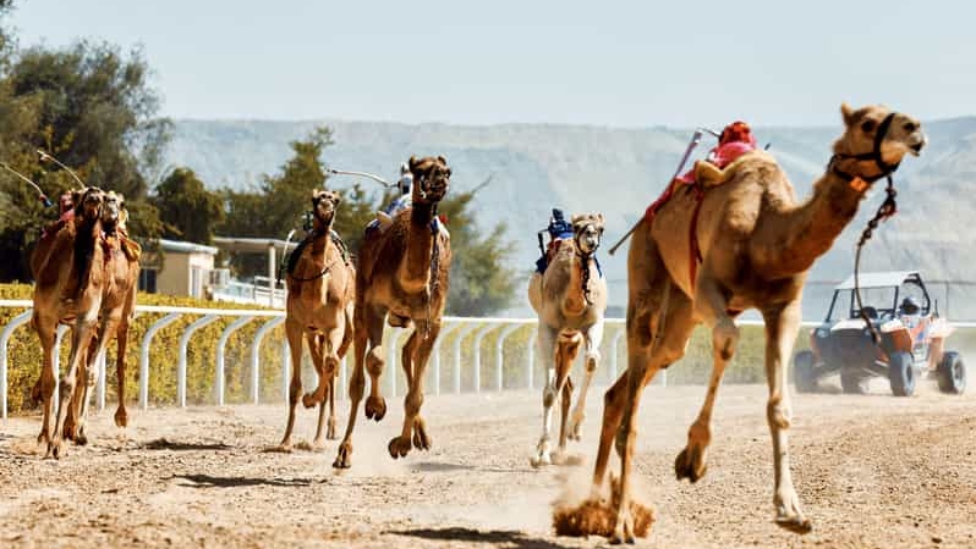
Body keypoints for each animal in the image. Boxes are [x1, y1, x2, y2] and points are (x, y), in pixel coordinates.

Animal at [30, 186, 107, 458]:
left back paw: (73, 431)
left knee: (84, 371)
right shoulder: (45, 317)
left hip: (81, 326)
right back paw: (49, 433)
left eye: (104, 197)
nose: (93, 195)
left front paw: (57, 444)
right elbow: (50, 381)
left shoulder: (85, 321)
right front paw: (48, 438)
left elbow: (67, 381)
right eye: (82, 194)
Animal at [277, 189, 355, 451]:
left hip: (343, 325)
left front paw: (311, 401)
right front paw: (285, 441)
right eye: (315, 199)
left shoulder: (333, 325)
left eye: (336, 200)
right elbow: (295, 386)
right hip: (312, 333)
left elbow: (330, 365)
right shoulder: (294, 323)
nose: (325, 206)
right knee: (322, 365)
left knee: (330, 365)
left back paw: (324, 434)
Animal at [333, 155, 452, 469]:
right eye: (420, 170)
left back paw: (420, 436)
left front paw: (401, 444)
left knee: (408, 353)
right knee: (358, 379)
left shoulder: (432, 319)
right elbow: (375, 360)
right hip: (361, 301)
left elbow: (416, 394)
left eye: (447, 171)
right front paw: (376, 406)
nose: (438, 183)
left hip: (414, 322)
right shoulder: (375, 305)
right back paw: (344, 451)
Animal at [528, 213, 607, 467]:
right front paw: (540, 454)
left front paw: (576, 428)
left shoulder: (593, 324)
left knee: (566, 388)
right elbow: (549, 392)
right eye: (578, 226)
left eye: (601, 228)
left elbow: (592, 361)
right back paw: (553, 450)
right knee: (559, 388)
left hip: (571, 340)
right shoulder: (548, 327)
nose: (590, 239)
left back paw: (562, 449)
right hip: (560, 339)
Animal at [559, 104, 927, 543]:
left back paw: (592, 507)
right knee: (635, 389)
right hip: (648, 269)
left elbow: (780, 404)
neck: (764, 234)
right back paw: (618, 522)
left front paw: (791, 511)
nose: (914, 130)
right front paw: (693, 457)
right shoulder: (710, 290)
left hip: (681, 315)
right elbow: (728, 341)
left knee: (629, 386)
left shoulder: (783, 308)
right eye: (868, 122)